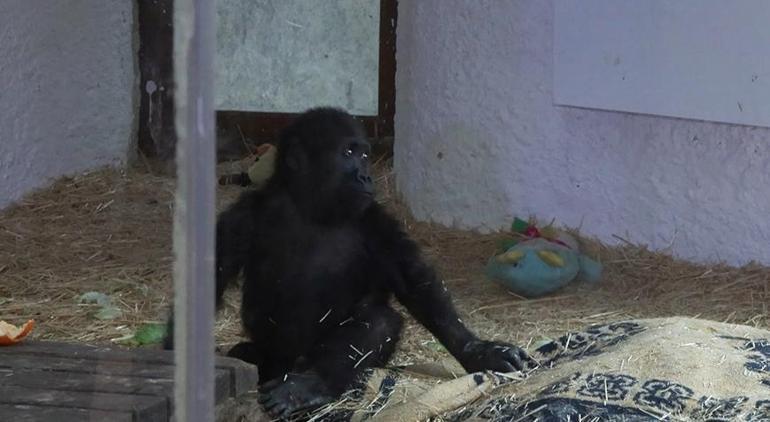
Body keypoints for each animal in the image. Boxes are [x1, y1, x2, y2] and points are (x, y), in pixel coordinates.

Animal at [163, 106, 528, 418]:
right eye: (348, 153)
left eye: (364, 155)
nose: (366, 177)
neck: (311, 207)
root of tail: (288, 367)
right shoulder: (241, 217)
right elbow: (209, 277)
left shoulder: (376, 221)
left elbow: (415, 284)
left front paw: (477, 350)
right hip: (270, 358)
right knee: (246, 354)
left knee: (377, 322)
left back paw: (308, 386)